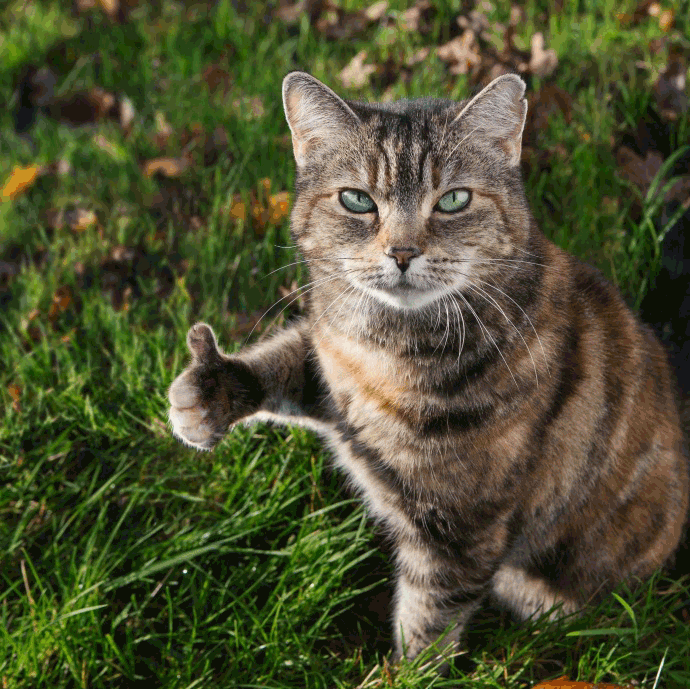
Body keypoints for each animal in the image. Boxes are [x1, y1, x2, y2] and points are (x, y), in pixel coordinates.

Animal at [168, 72, 688, 668]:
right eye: (356, 200)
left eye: (454, 199)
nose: (401, 252)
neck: (388, 346)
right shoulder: (330, 359)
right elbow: (286, 362)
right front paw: (207, 393)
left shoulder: (460, 529)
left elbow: (427, 622)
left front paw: (402, 674)